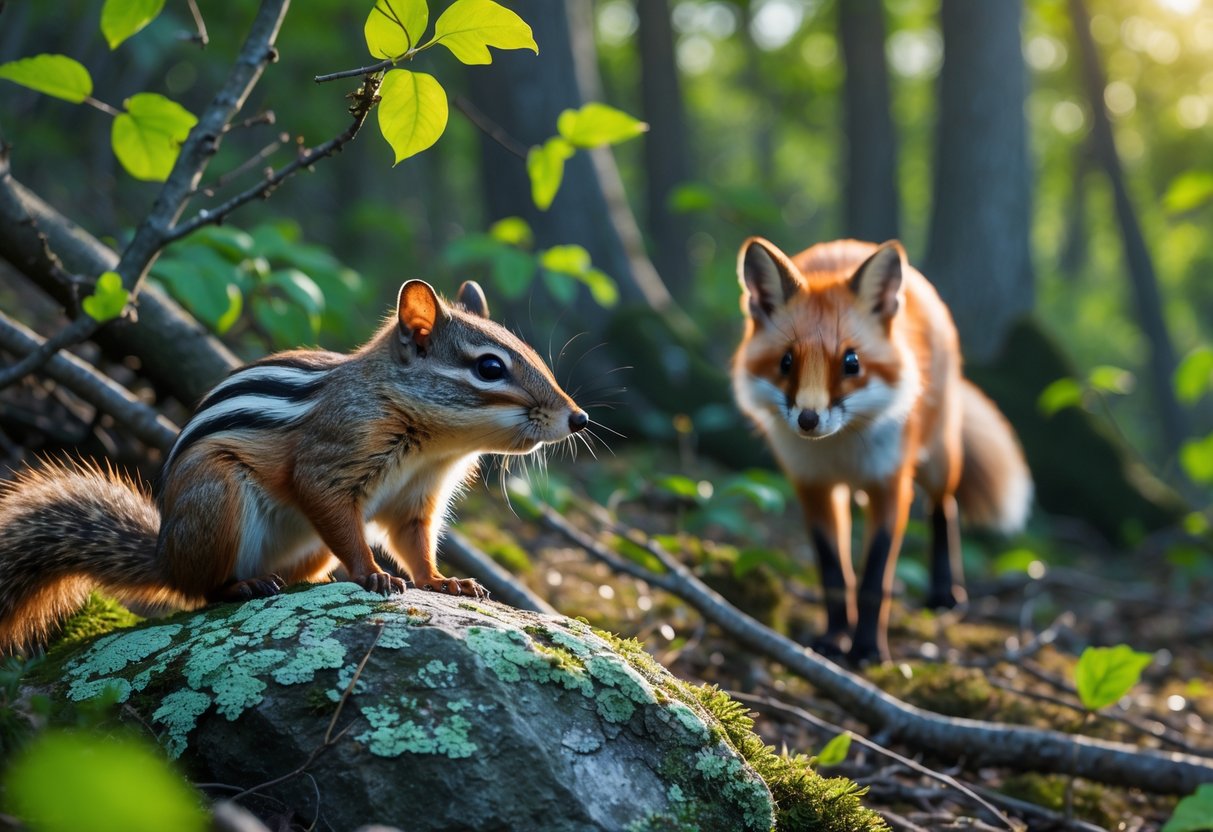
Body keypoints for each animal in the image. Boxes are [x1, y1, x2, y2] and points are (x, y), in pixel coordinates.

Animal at [0, 279, 589, 655]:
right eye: (489, 367)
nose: (579, 418)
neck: (434, 446)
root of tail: (165, 554)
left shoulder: (416, 500)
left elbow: (415, 545)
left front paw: (445, 582)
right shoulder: (331, 459)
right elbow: (337, 515)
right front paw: (372, 575)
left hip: (304, 549)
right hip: (217, 498)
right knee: (200, 591)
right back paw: (243, 587)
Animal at [732, 237, 1032, 663]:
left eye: (851, 362)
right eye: (786, 362)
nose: (808, 420)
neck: (840, 451)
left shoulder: (890, 485)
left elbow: (874, 581)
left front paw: (867, 648)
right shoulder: (813, 487)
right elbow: (835, 575)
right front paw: (834, 639)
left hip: (939, 460)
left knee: (944, 507)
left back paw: (944, 593)